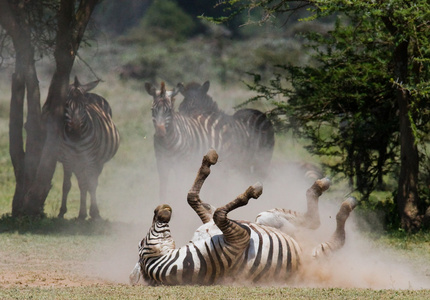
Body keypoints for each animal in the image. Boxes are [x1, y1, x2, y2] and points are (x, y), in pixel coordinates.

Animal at [58, 76, 120, 219]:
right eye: (66, 105)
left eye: (84, 106)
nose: (76, 132)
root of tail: (91, 92)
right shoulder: (68, 159)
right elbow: (67, 185)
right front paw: (62, 211)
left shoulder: (90, 159)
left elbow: (91, 184)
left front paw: (93, 213)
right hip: (78, 162)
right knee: (82, 183)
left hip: (97, 161)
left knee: (92, 182)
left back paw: (91, 212)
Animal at [129, 150, 358, 286]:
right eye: (141, 242)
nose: (159, 208)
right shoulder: (238, 238)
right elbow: (219, 212)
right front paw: (250, 192)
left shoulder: (210, 221)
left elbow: (193, 198)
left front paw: (208, 161)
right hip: (308, 249)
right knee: (332, 236)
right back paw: (345, 205)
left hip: (264, 218)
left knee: (310, 220)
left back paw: (321, 186)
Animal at [144, 81, 272, 200]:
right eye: (180, 108)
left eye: (170, 110)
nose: (160, 133)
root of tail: (259, 112)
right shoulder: (163, 163)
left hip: (261, 161)